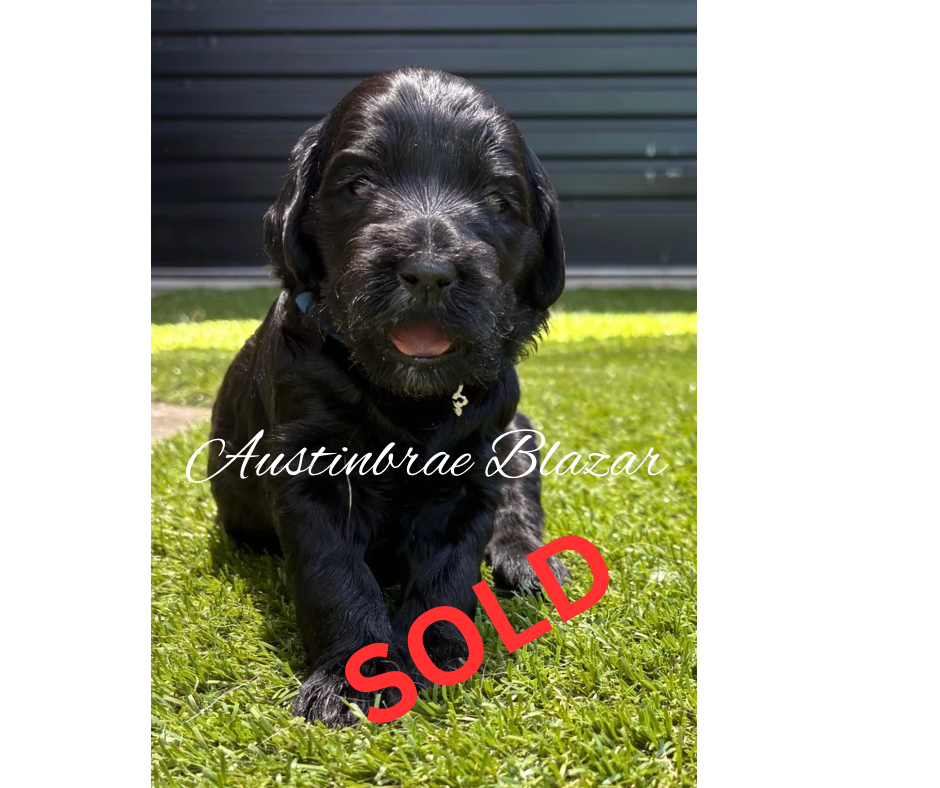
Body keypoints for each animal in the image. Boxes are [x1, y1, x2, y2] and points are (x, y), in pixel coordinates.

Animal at [208, 67, 569, 727]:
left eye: (498, 201)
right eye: (358, 185)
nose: (428, 271)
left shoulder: (472, 472)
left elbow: (452, 570)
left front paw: (439, 656)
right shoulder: (309, 473)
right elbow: (335, 576)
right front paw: (351, 682)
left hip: (520, 434)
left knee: (520, 503)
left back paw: (527, 560)